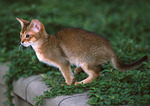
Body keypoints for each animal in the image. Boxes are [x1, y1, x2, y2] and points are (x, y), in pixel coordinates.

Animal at [16, 17, 148, 85]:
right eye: (21, 35)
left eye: (27, 36)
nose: (21, 42)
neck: (45, 43)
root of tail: (111, 49)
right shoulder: (65, 63)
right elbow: (69, 73)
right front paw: (72, 79)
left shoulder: (63, 62)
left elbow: (67, 75)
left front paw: (69, 84)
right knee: (99, 68)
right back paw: (78, 70)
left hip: (86, 62)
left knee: (96, 73)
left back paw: (81, 83)